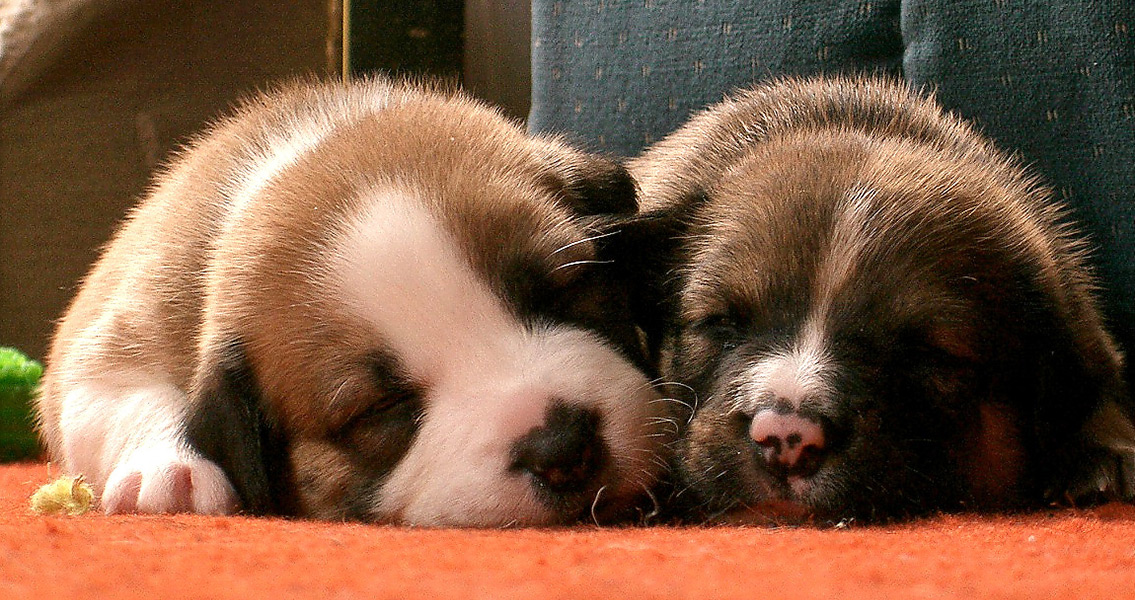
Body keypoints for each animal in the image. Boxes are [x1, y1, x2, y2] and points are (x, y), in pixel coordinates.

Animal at [37, 77, 671, 526]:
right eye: (381, 407)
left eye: (563, 291)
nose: (563, 446)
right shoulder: (115, 333)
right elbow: (114, 392)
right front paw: (172, 467)